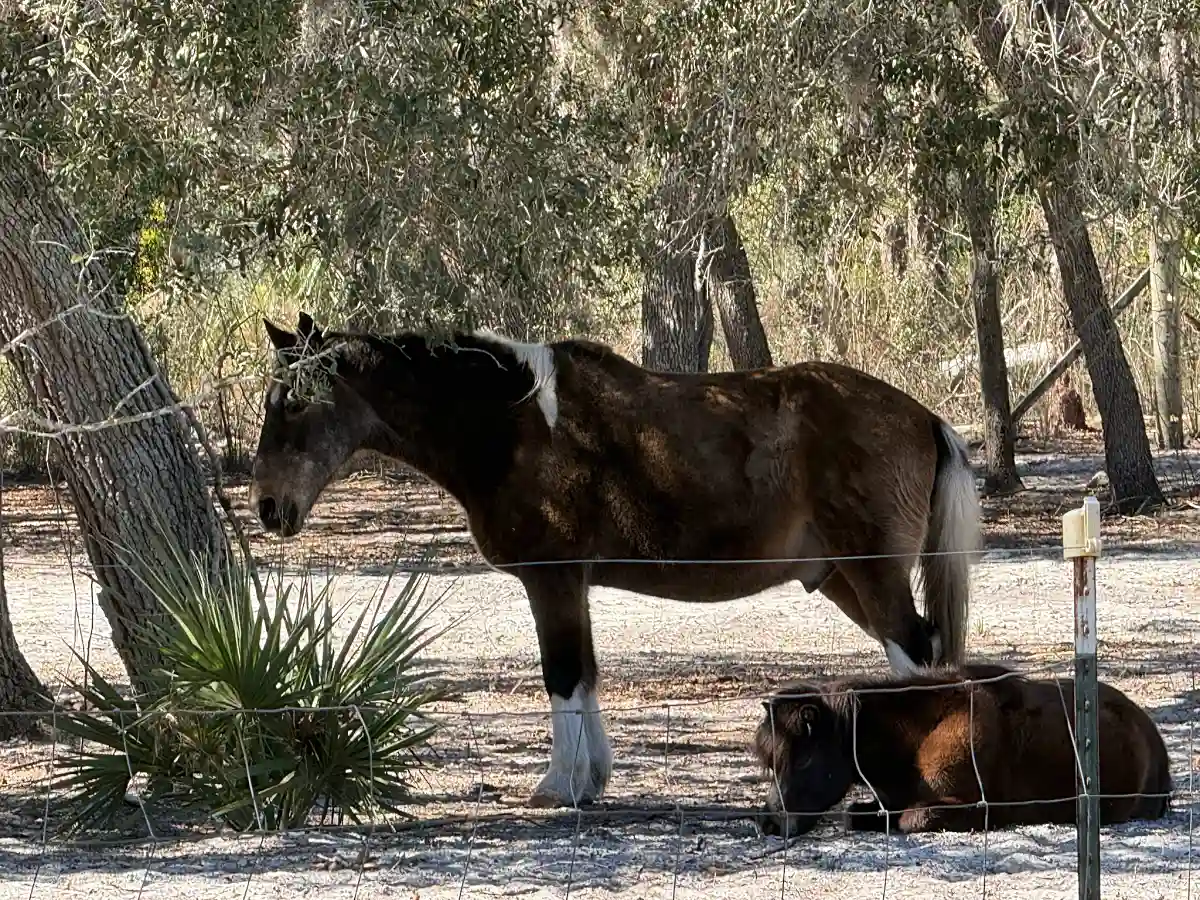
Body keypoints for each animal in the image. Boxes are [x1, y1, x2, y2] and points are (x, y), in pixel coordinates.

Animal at [248, 312, 982, 808]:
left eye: (296, 403)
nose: (269, 507)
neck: (510, 425)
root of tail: (921, 415)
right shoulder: (572, 586)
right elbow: (587, 676)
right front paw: (589, 779)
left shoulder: (551, 582)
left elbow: (563, 677)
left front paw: (559, 785)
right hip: (842, 579)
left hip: (872, 571)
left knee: (915, 653)